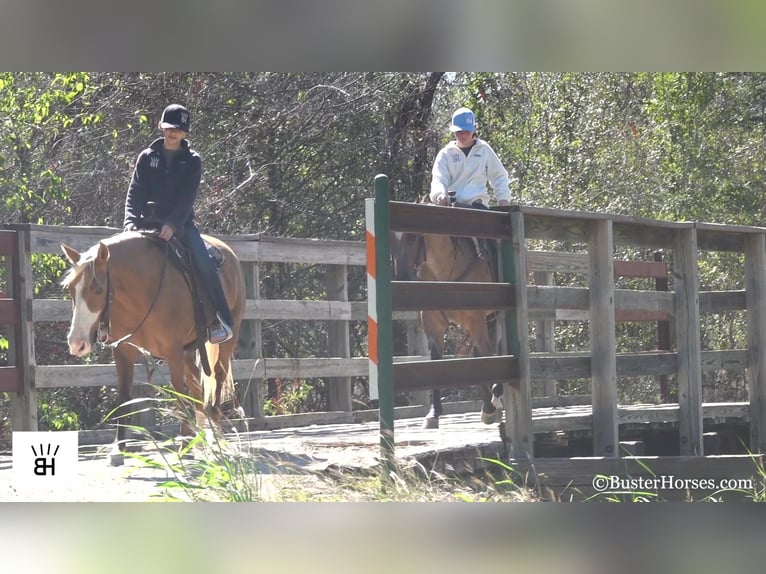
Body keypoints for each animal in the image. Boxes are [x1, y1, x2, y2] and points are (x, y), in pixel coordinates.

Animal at [60, 230, 246, 464]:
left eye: (98, 289)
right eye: (70, 289)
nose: (77, 343)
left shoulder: (173, 352)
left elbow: (179, 394)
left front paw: (183, 445)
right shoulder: (123, 351)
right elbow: (123, 397)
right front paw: (118, 449)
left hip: (229, 336)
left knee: (218, 377)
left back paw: (215, 438)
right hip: (189, 350)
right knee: (196, 384)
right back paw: (200, 441)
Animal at [392, 227, 508, 430]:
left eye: (412, 236)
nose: (402, 278)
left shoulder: (476, 321)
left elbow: (483, 356)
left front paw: (491, 404)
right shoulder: (433, 325)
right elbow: (437, 360)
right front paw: (434, 413)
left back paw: (495, 398)